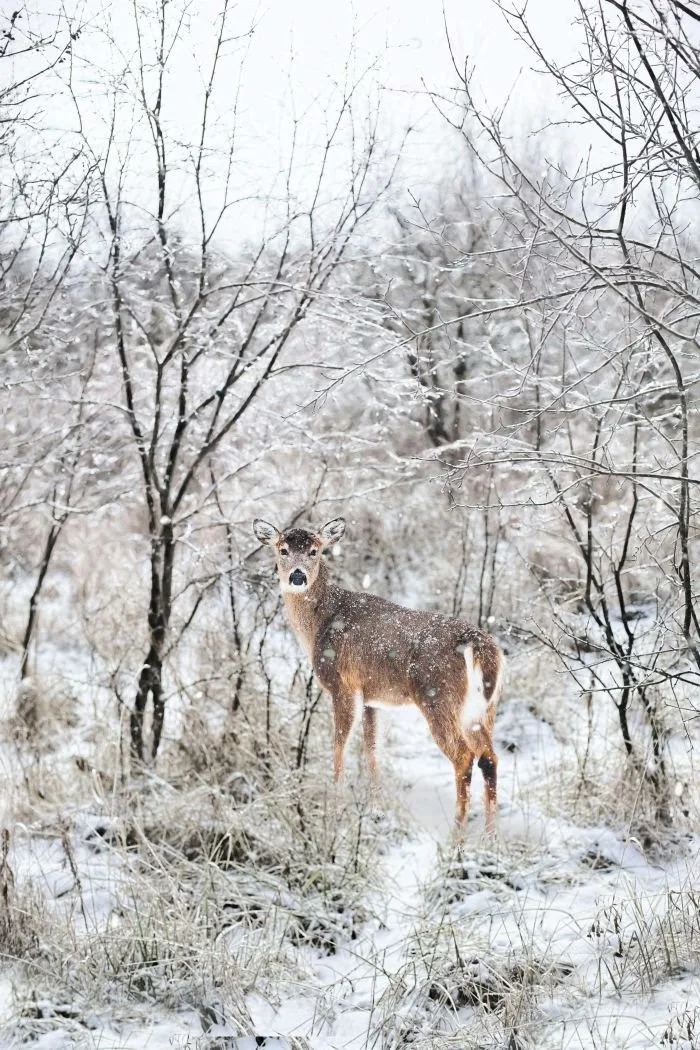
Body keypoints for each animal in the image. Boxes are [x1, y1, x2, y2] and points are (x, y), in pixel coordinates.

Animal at [252, 517, 504, 831]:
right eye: (283, 550)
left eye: (314, 551)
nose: (297, 577)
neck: (320, 624)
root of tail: (479, 645)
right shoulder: (372, 697)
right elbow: (372, 750)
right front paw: (374, 805)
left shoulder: (342, 685)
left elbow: (340, 745)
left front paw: (334, 803)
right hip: (483, 708)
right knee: (489, 757)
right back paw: (489, 835)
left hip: (438, 697)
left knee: (464, 756)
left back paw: (456, 832)